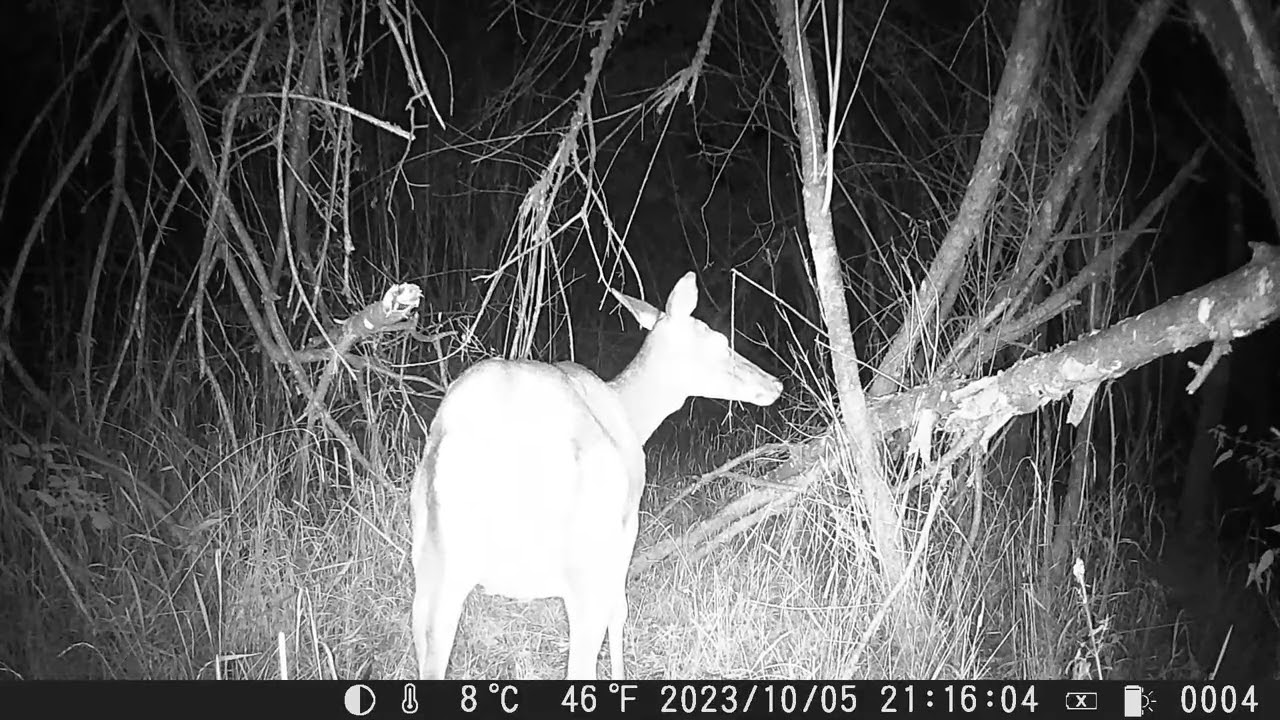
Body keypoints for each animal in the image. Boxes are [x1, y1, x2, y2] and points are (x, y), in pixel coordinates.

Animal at [410, 271, 783, 679]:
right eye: (719, 341)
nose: (774, 384)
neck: (630, 413)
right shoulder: (625, 526)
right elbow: (619, 612)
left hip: (432, 562)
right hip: (580, 554)